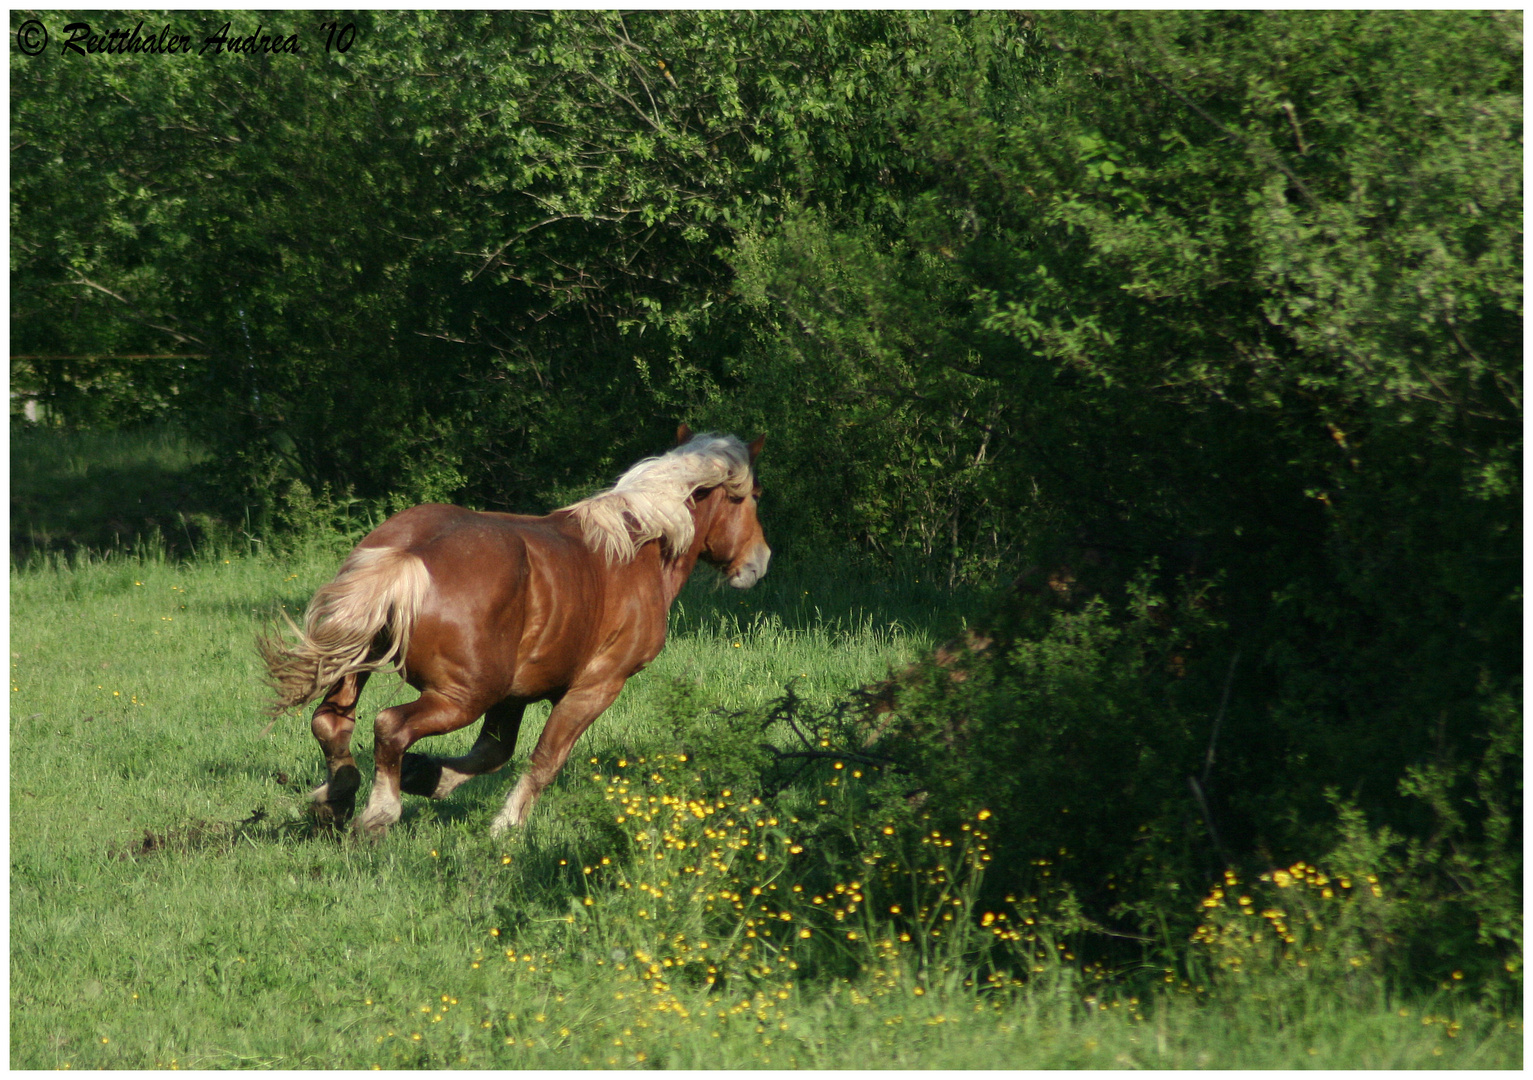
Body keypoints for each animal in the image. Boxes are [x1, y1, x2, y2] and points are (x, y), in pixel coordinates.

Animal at [259, 428, 778, 833]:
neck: (637, 550)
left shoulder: (514, 695)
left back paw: (336, 797)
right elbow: (545, 758)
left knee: (331, 723)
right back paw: (377, 814)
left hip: (363, 665)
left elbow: (493, 752)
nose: (760, 561)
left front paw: (427, 776)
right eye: (753, 497)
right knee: (390, 726)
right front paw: (506, 826)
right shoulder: (596, 686)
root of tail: (409, 556)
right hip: (463, 696)